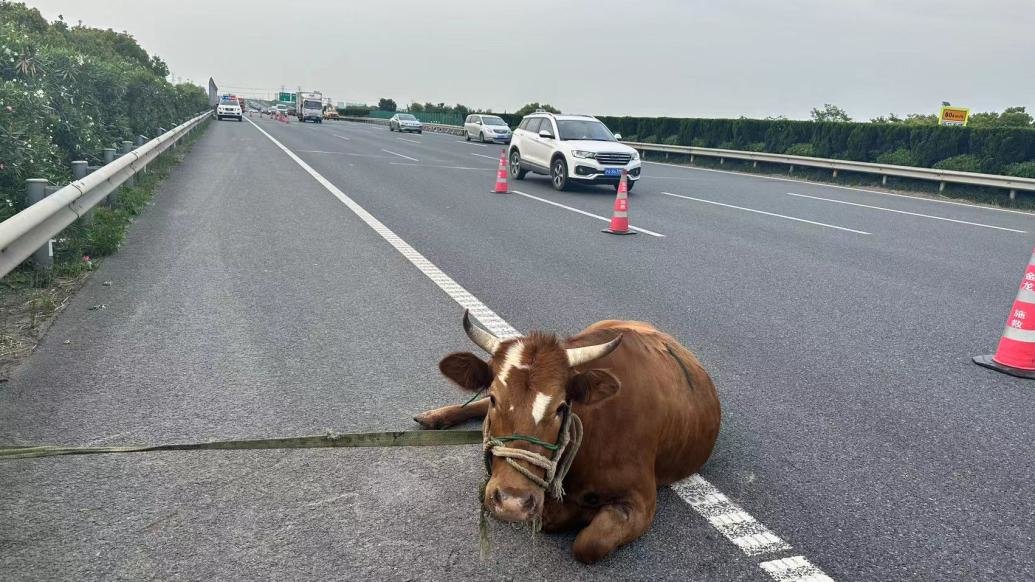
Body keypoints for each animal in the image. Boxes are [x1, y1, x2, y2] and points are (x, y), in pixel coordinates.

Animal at [414, 312, 720, 563]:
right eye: (493, 397)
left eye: (561, 407)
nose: (512, 503)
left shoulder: (642, 499)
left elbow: (589, 543)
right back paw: (433, 416)